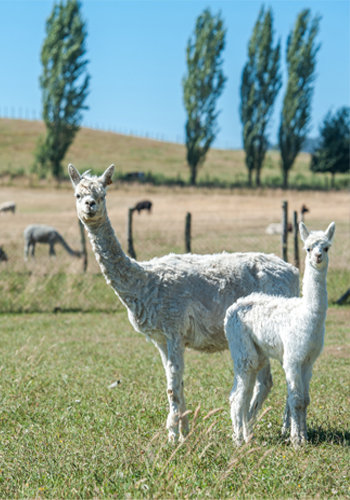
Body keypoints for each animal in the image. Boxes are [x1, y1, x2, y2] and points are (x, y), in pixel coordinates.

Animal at [226, 221, 334, 448]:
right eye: (308, 248)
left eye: (326, 247)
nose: (318, 257)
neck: (306, 316)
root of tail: (234, 305)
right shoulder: (292, 358)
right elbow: (296, 399)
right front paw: (296, 440)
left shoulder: (308, 361)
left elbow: (305, 400)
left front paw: (304, 436)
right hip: (242, 349)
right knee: (237, 396)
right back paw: (238, 440)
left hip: (256, 353)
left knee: (245, 393)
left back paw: (246, 436)